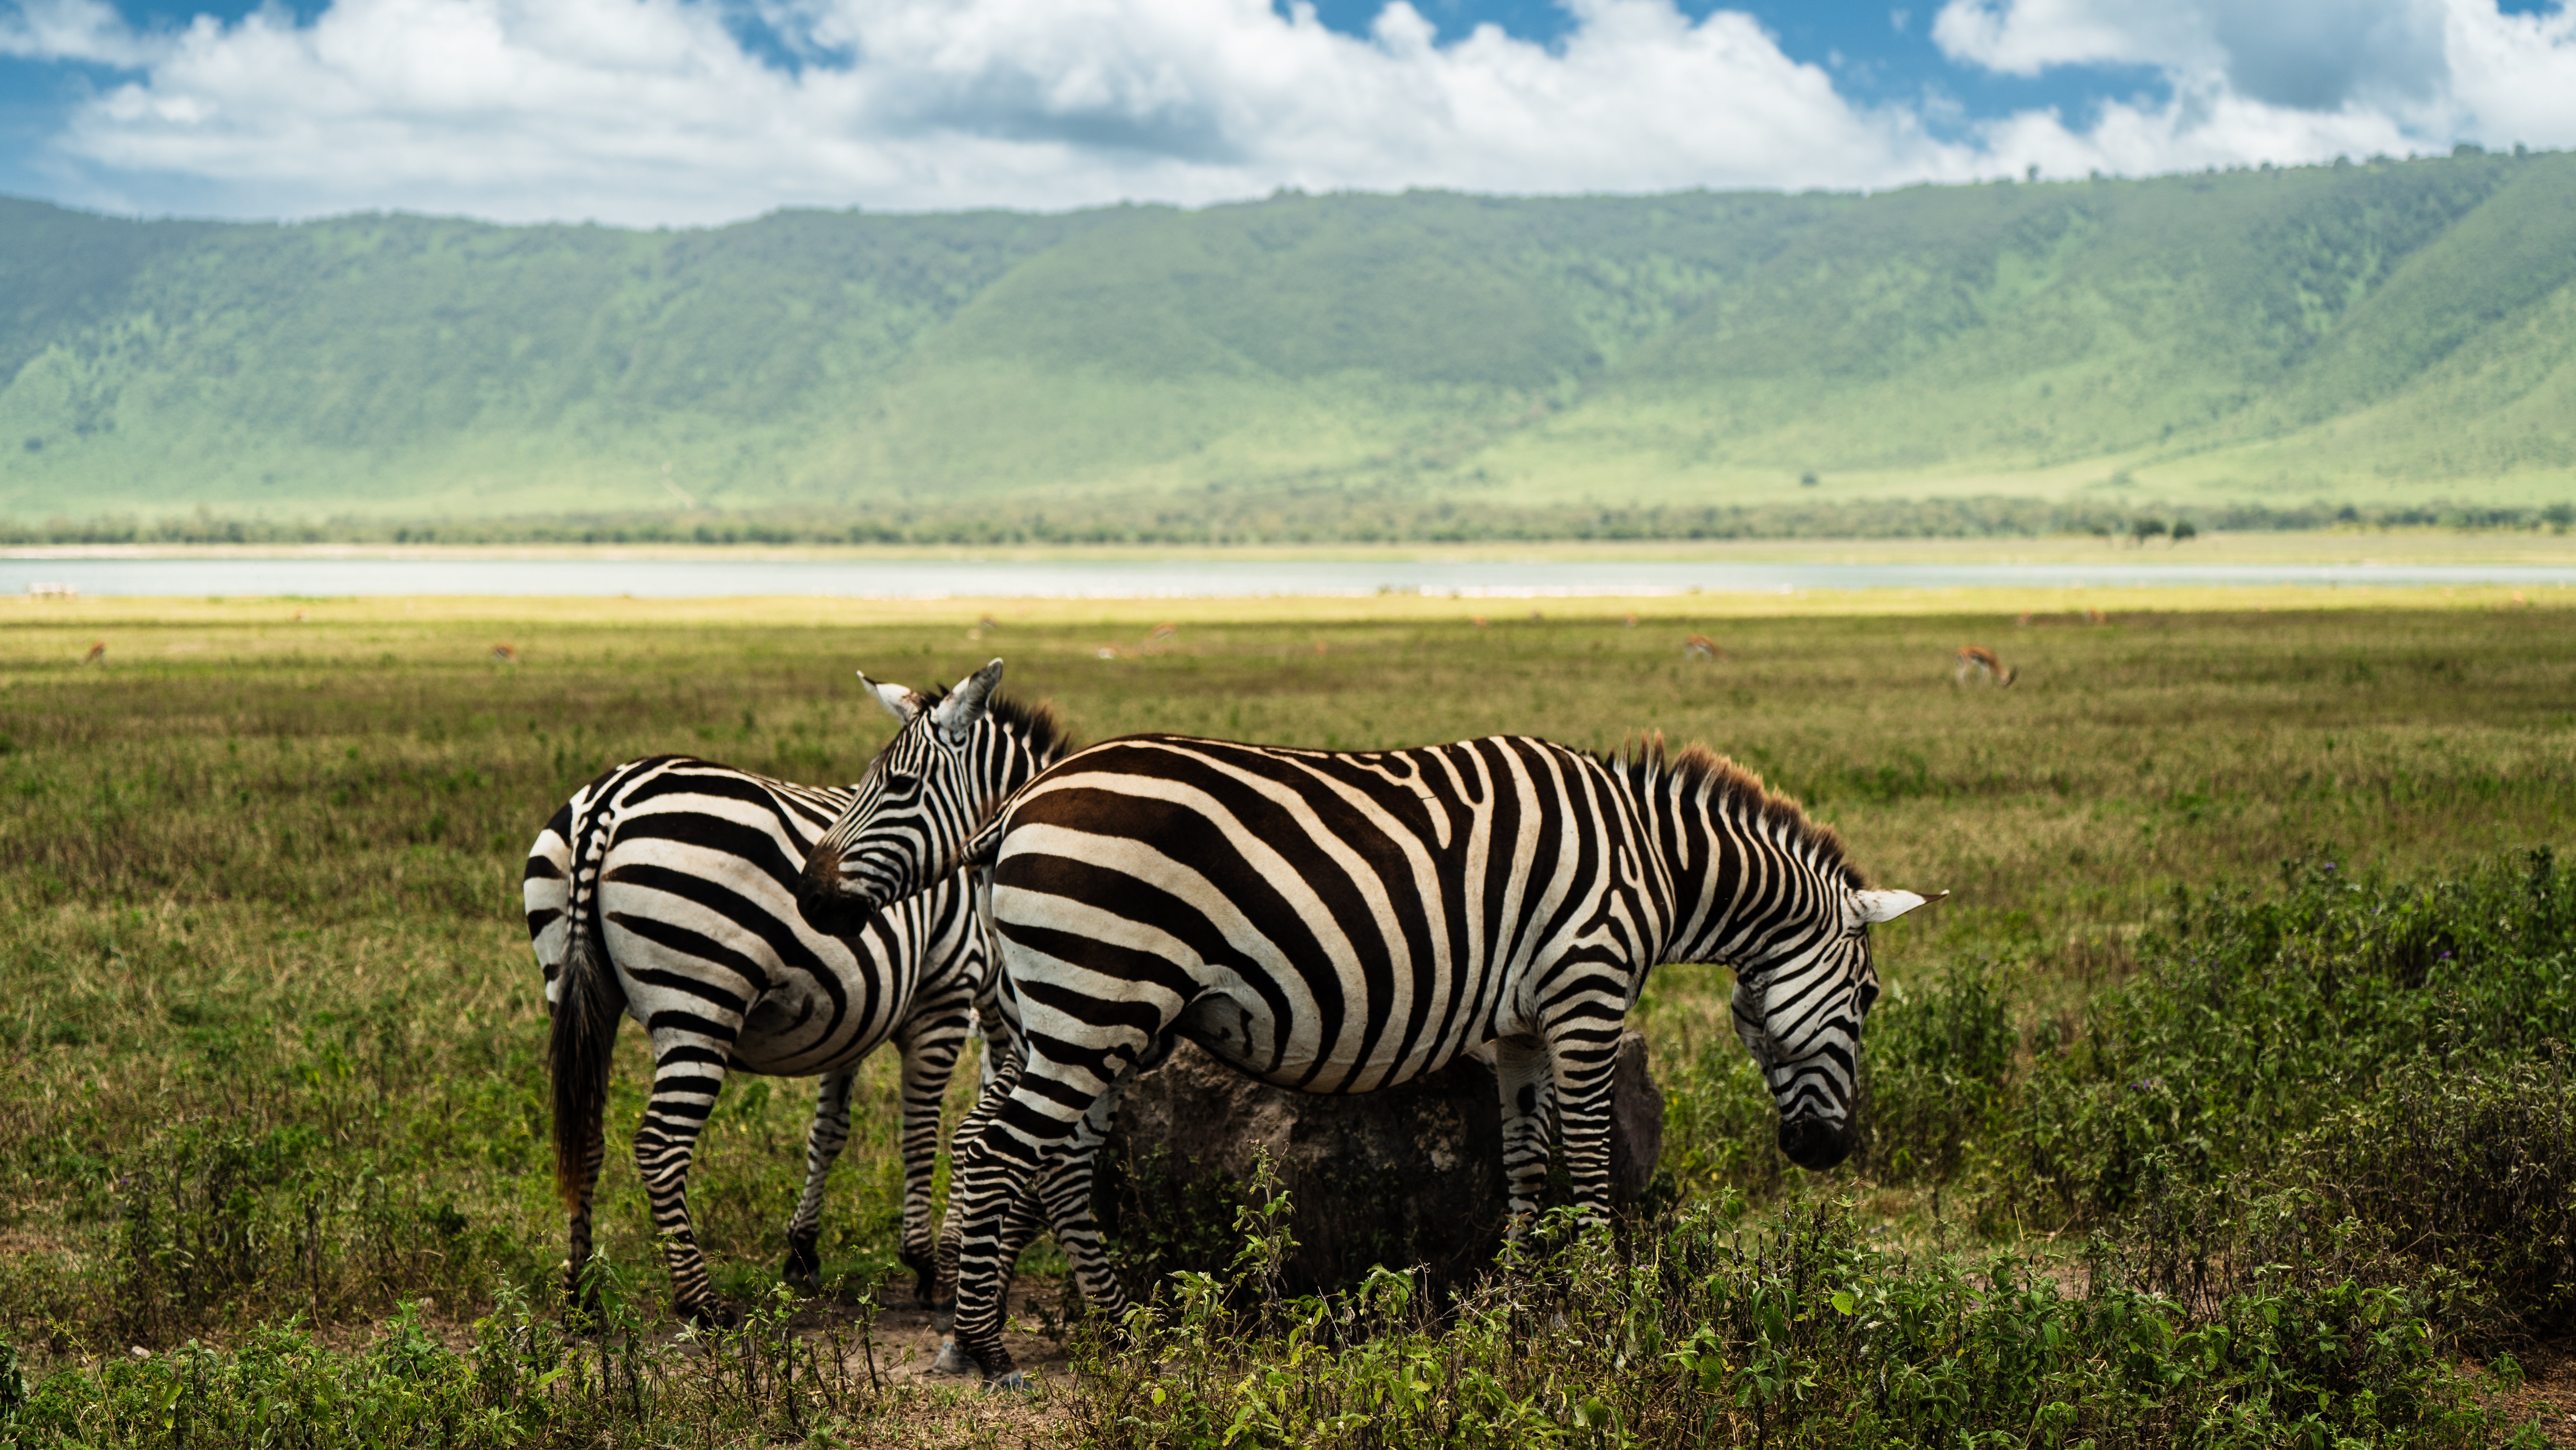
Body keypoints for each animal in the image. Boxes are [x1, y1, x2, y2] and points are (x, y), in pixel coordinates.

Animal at [528, 669, 1071, 1329]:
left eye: (894, 784)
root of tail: (609, 799)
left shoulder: (859, 1006)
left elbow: (829, 1130)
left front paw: (803, 1250)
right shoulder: (944, 995)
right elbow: (927, 1131)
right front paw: (930, 1264)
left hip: (575, 988)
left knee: (583, 1132)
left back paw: (580, 1294)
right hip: (699, 1000)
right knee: (659, 1144)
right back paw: (701, 1301)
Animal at [798, 659, 1937, 1380]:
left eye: (897, 785)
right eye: (1871, 999)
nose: (1825, 1151)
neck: (1649, 859)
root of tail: (1024, 806)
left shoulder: (1520, 1025)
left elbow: (1522, 1160)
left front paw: (1515, 1303)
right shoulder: (1587, 990)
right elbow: (1587, 1157)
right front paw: (1608, 1309)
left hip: (1077, 1010)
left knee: (1032, 1153)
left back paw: (1058, 1328)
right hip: (1097, 1000)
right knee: (1000, 1150)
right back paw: (988, 1349)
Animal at [1957, 649, 2020, 690]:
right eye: (2006, 680)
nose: (2005, 688)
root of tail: (1959, 652)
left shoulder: (1984, 667)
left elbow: (1981, 676)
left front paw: (1979, 687)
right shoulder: (1988, 667)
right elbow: (1988, 676)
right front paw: (1989, 687)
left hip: (1962, 665)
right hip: (1967, 665)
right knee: (1960, 674)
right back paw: (1964, 688)